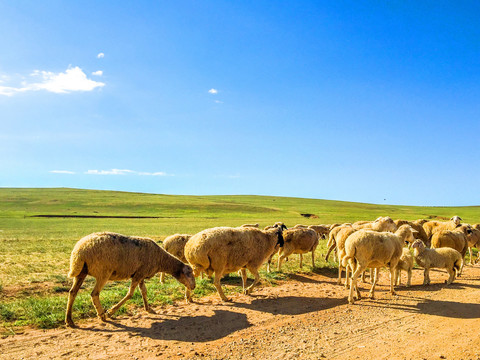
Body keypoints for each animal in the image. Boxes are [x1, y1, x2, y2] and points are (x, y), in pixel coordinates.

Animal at [64, 232, 196, 328]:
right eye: (189, 273)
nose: (194, 287)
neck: (161, 260)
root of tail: (80, 252)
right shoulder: (138, 275)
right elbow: (130, 294)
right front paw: (111, 312)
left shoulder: (141, 274)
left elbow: (144, 291)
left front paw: (148, 309)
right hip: (103, 272)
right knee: (94, 294)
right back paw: (102, 315)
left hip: (81, 272)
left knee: (72, 292)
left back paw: (69, 320)